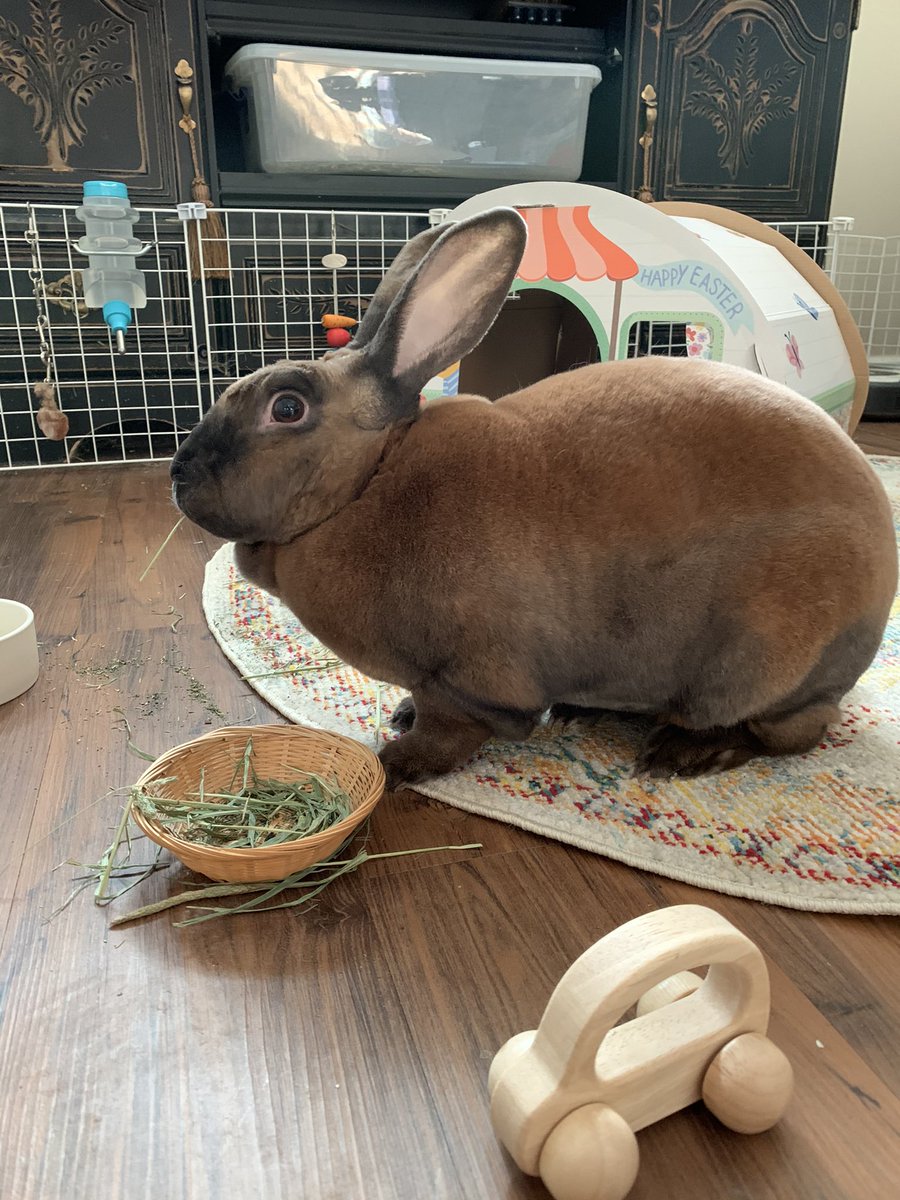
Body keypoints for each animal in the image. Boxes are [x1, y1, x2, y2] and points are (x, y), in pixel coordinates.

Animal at [170, 207, 897, 791]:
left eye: (287, 407)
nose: (179, 474)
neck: (368, 483)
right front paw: (399, 716)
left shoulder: (467, 682)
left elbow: (451, 731)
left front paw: (394, 762)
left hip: (768, 658)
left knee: (792, 731)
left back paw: (686, 753)